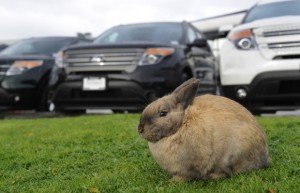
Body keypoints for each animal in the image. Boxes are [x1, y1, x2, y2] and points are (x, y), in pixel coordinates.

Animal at [138, 77, 270, 182]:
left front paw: (173, 181)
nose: (140, 129)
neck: (181, 123)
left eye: (163, 113)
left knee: (228, 172)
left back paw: (211, 176)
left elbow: (185, 175)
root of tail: (264, 157)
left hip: (231, 156)